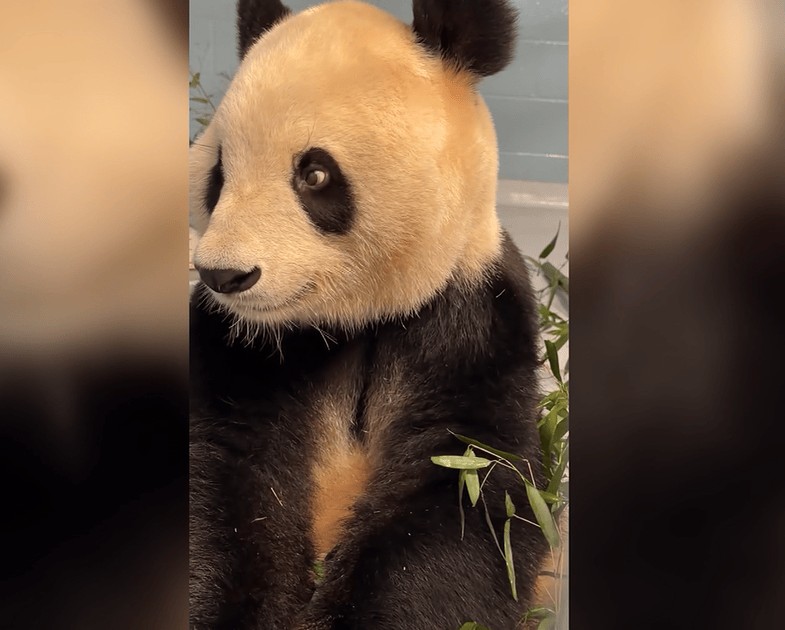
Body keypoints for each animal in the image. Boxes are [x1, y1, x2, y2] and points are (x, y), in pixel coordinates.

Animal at [189, 0, 549, 628]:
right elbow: (224, 475)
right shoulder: (236, 343)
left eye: (314, 173)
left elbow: (464, 492)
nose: (222, 275)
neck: (356, 318)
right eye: (219, 173)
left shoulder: (472, 317)